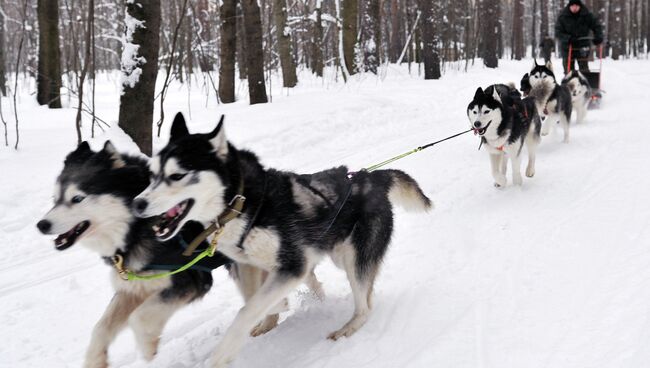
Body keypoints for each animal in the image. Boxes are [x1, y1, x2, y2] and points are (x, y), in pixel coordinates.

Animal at [130, 113, 430, 366]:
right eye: (152, 175)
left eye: (177, 175)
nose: (137, 204)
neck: (243, 203)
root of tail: (371, 176)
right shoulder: (249, 264)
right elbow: (251, 299)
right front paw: (273, 312)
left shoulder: (291, 266)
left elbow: (247, 310)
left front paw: (223, 353)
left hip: (351, 259)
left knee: (365, 305)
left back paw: (348, 328)